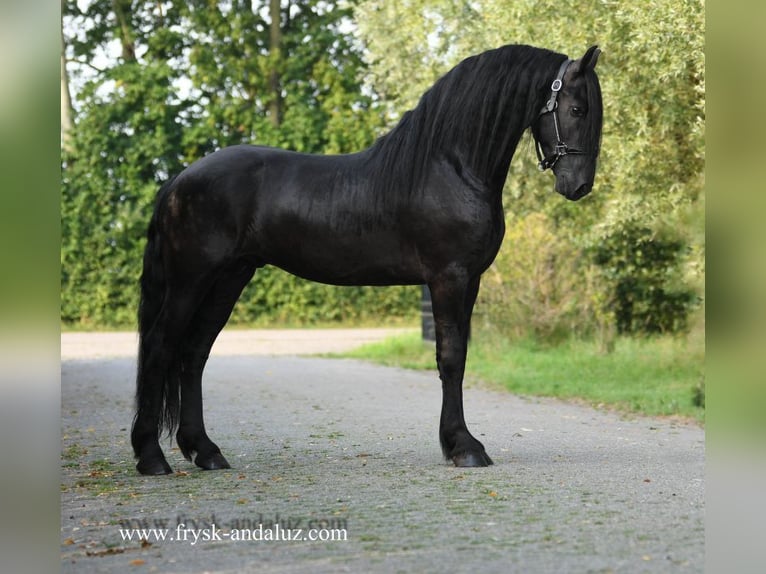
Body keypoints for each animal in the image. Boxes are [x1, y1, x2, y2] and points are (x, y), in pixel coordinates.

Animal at [131, 44, 603, 475]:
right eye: (576, 108)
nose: (579, 186)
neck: (450, 166)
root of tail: (178, 179)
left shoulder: (471, 281)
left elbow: (461, 356)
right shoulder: (449, 277)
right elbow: (451, 358)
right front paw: (464, 447)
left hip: (229, 278)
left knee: (194, 353)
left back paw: (205, 451)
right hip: (191, 279)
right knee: (160, 346)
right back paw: (151, 457)